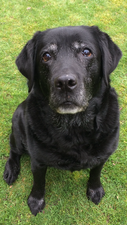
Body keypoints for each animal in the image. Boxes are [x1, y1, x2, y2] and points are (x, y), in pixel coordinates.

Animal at [3, 25, 121, 216]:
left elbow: (96, 173)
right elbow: (38, 183)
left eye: (86, 52)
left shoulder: (103, 155)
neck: (73, 126)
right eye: (46, 56)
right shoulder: (38, 162)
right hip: (18, 127)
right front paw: (35, 201)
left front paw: (95, 190)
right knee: (14, 151)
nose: (65, 83)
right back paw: (10, 170)